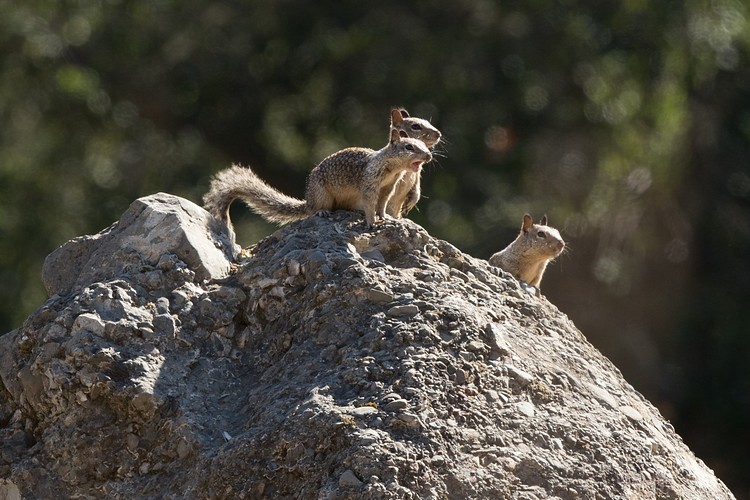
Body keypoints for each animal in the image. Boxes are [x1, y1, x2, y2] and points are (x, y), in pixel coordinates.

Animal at [203, 128, 432, 231]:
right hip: (321, 193)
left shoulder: (389, 187)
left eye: (423, 145)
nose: (428, 156)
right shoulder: (370, 182)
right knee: (319, 208)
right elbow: (369, 203)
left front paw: (385, 217)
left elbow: (382, 203)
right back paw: (322, 211)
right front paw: (371, 221)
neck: (391, 168)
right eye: (408, 147)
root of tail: (309, 200)